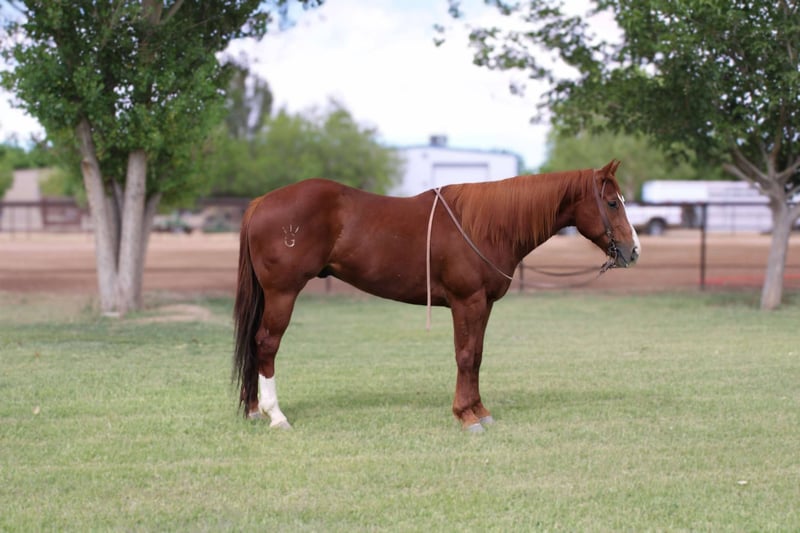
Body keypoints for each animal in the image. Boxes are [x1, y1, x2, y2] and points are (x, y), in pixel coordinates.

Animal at [233, 159, 640, 432]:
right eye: (613, 202)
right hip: (283, 293)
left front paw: (480, 411)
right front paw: (466, 416)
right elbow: (465, 355)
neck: (485, 226)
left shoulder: (483, 304)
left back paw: (253, 410)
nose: (633, 251)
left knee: (254, 343)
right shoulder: (466, 301)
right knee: (266, 344)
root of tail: (260, 203)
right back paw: (275, 415)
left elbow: (477, 356)